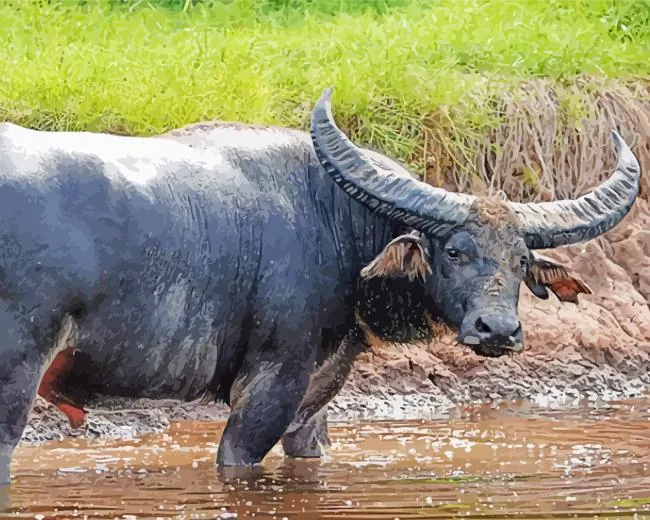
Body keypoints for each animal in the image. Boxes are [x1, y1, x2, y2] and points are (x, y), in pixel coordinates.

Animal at [0, 87, 640, 484]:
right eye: (455, 251)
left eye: (521, 258)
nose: (498, 330)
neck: (334, 222)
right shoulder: (267, 389)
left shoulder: (315, 399)